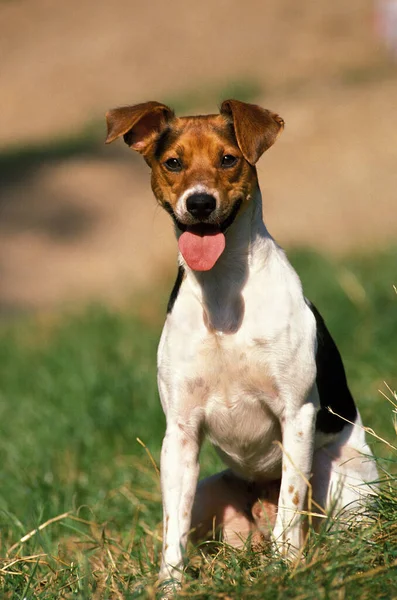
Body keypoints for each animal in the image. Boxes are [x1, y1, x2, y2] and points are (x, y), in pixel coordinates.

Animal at [105, 101, 378, 588]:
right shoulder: (180, 431)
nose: (199, 203)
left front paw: (286, 568)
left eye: (228, 159)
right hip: (210, 491)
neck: (222, 292)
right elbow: (171, 527)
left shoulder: (296, 414)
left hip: (341, 475)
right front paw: (170, 586)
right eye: (172, 162)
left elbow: (290, 505)